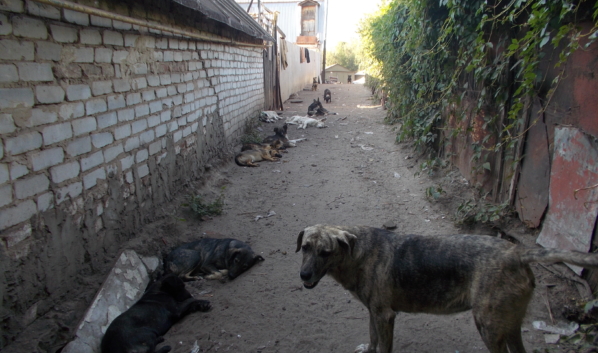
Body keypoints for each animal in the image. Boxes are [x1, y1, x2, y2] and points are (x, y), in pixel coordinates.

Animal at [298, 224, 598, 352]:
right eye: (305, 247)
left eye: (325, 252)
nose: (303, 275)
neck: (357, 254)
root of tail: (517, 253)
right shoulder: (375, 313)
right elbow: (372, 341)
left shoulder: (385, 316)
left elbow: (383, 346)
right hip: (510, 326)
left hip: (489, 327)